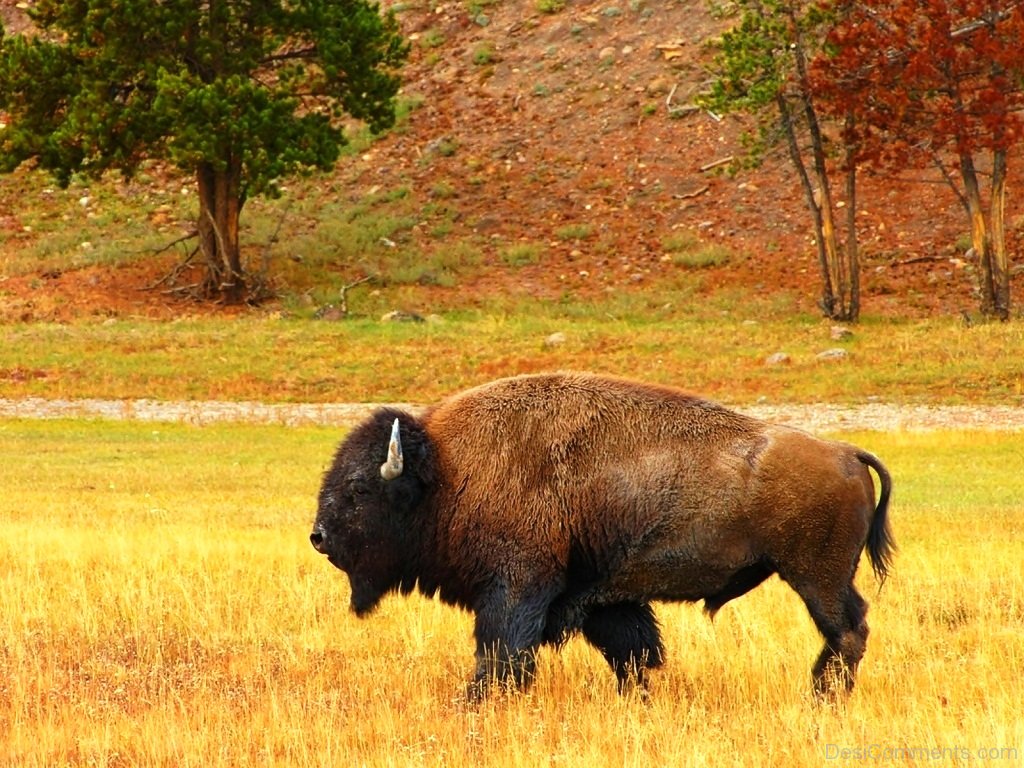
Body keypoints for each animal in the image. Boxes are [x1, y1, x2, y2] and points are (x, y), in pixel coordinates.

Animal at [307, 374, 892, 704]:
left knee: (849, 630)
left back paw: (822, 697)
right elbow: (632, 653)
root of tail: (846, 451)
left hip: (816, 577)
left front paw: (472, 702)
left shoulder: (517, 588)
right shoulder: (603, 599)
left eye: (359, 489)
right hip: (821, 577)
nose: (318, 536)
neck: (448, 471)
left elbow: (502, 653)